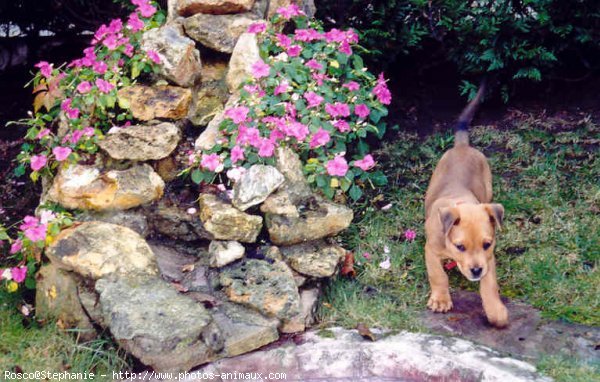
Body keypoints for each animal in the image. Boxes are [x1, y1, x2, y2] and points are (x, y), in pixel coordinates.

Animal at [422, 84, 506, 328]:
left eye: (487, 244)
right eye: (460, 247)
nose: (476, 270)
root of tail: (462, 146)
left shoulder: (489, 259)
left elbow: (489, 286)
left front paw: (496, 311)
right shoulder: (430, 250)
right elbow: (438, 275)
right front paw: (441, 300)